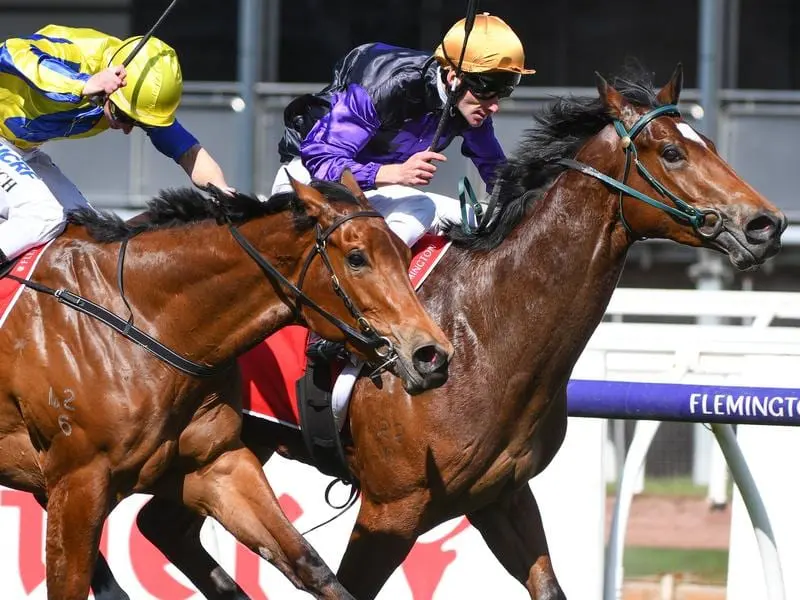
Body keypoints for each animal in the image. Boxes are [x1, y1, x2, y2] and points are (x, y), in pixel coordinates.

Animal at [0, 170, 454, 600]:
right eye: (357, 258)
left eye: (404, 252)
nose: (431, 354)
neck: (142, 321)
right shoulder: (79, 482)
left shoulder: (217, 464)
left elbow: (310, 564)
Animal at [95, 65, 788, 600]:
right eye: (672, 152)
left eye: (710, 142)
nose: (766, 224)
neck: (488, 327)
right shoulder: (392, 510)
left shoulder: (503, 496)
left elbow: (548, 585)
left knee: (162, 527)